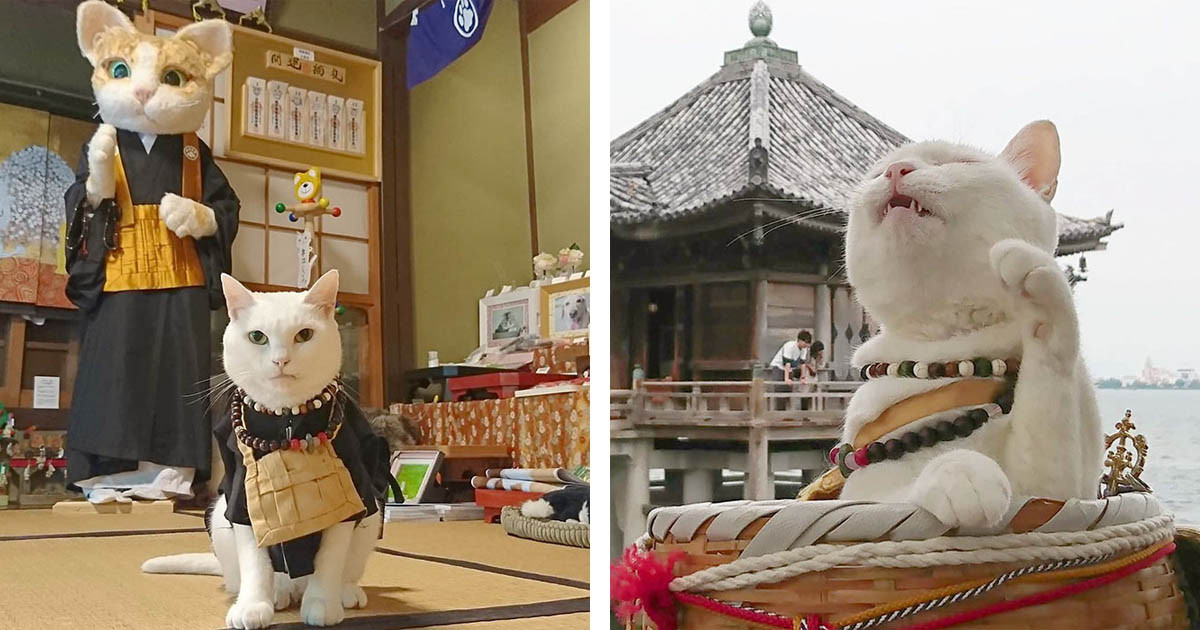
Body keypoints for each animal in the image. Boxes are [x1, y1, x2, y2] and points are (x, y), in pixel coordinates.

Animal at [142, 271, 381, 628]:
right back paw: (278, 593)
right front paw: (253, 607)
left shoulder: (350, 500)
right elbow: (255, 564)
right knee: (247, 577)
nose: (281, 359)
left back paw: (344, 593)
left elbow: (329, 560)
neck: (287, 419)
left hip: (373, 516)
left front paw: (322, 604)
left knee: (343, 571)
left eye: (304, 335)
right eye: (257, 337)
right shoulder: (241, 502)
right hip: (218, 516)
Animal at [840, 120, 1099, 528]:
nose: (896, 170)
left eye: (960, 163)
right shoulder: (862, 496)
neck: (949, 347)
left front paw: (1033, 279)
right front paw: (961, 474)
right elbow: (898, 493)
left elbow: (1051, 374)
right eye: (876, 173)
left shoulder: (1057, 491)